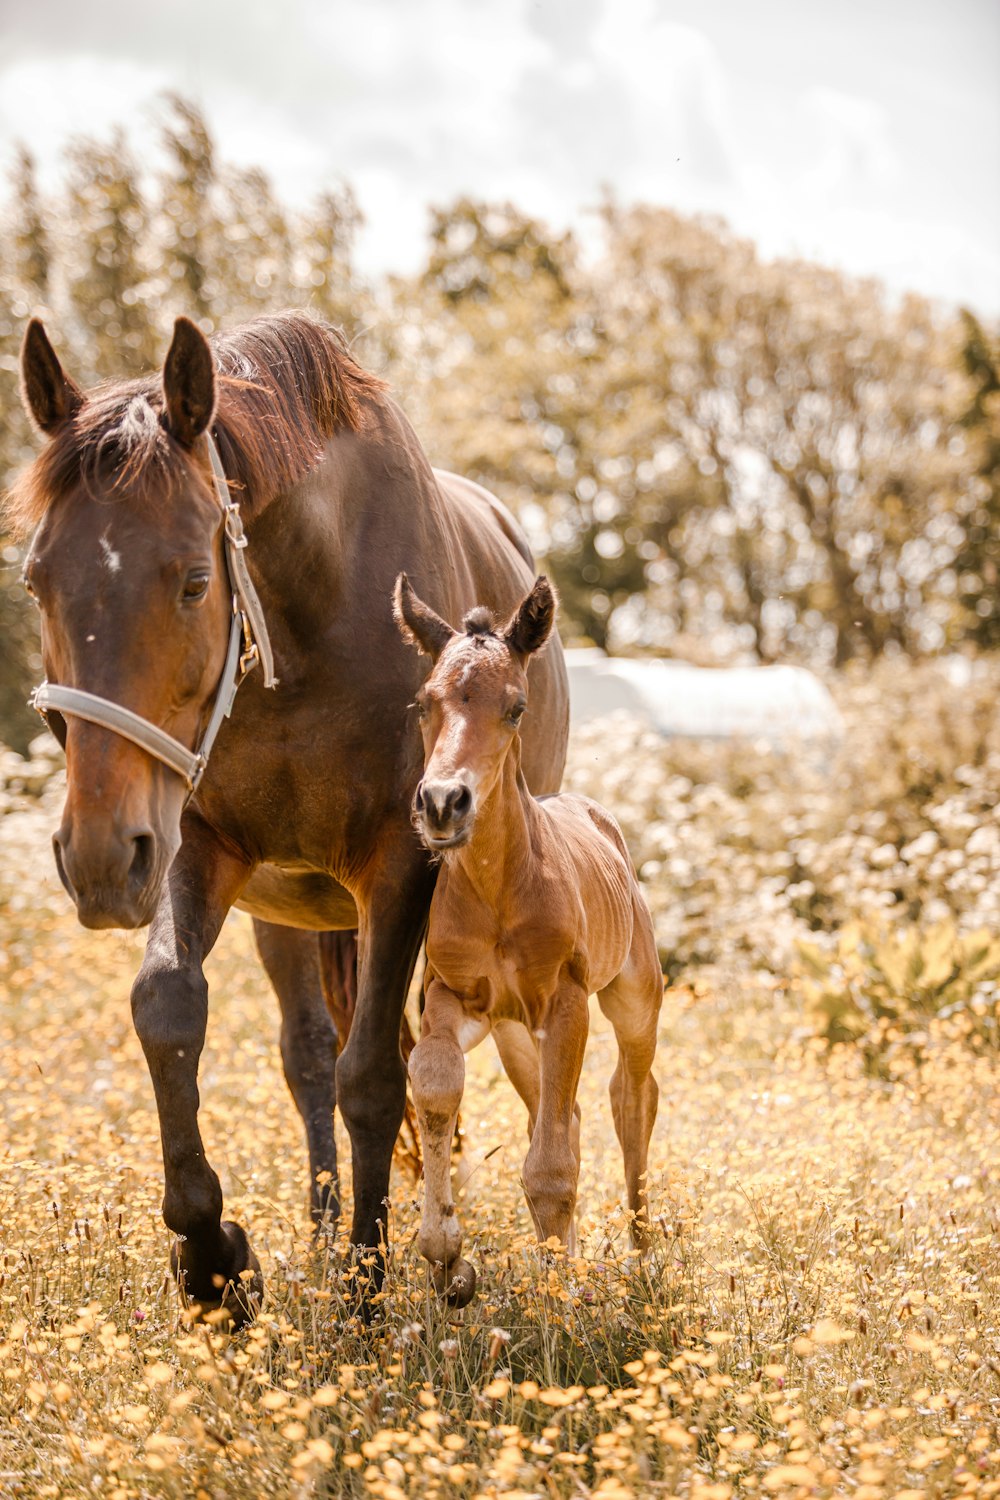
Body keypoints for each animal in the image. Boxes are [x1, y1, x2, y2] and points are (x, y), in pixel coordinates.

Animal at [9, 310, 569, 1320]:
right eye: (37, 581)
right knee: (307, 1054)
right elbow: (170, 1008)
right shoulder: (191, 841)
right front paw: (216, 1261)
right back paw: (318, 1236)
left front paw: (369, 1287)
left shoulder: (401, 866)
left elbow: (378, 1077)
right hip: (288, 912)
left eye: (194, 581)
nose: (101, 859)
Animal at [392, 570, 665, 1302]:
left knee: (631, 1098)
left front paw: (560, 1297)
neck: (498, 891)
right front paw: (447, 1257)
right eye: (423, 704)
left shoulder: (565, 1003)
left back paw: (643, 1257)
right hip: (516, 1035)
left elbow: (550, 1165)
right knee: (561, 1115)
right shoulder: (452, 997)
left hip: (632, 998)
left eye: (515, 708)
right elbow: (434, 1083)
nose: (442, 804)